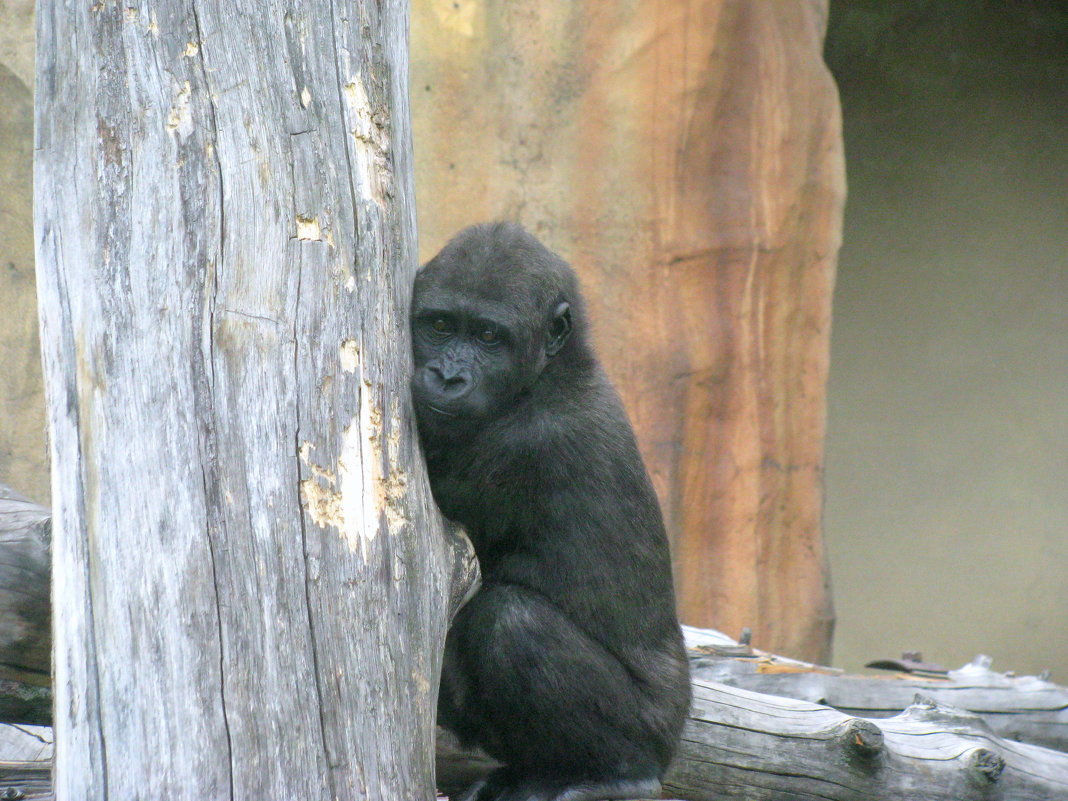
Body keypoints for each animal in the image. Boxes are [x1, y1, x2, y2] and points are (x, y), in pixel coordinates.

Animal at [407, 223, 692, 801]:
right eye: (441, 325)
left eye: (490, 337)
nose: (448, 377)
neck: (556, 369)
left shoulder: (530, 442)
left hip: (653, 732)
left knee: (510, 622)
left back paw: (621, 773)